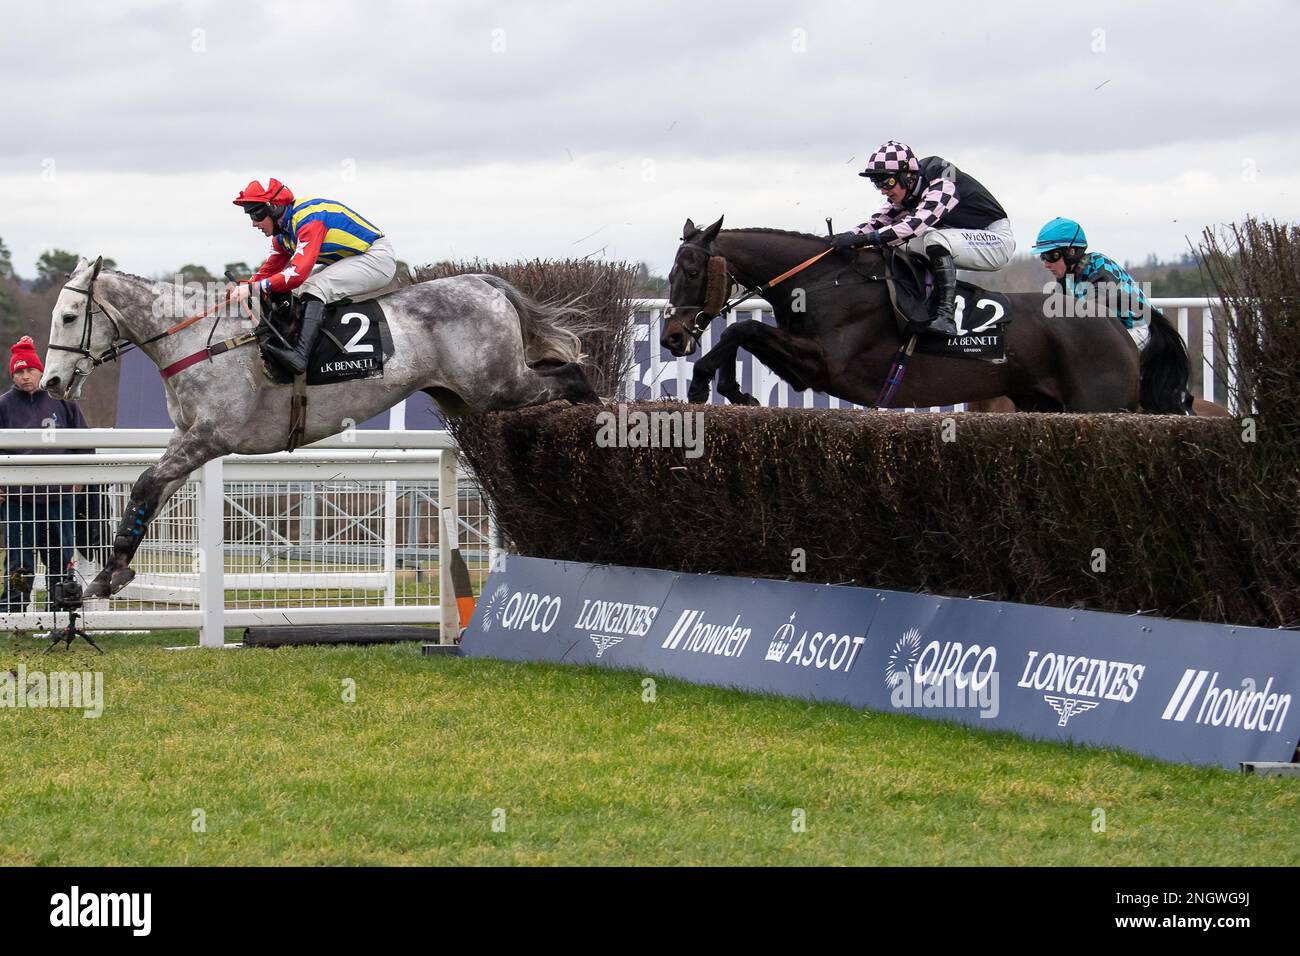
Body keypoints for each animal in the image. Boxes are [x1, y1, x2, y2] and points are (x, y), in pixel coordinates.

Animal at [39, 254, 598, 598]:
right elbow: (148, 493)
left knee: (570, 374)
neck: (197, 339)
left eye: (69, 317)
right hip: (467, 397)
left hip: (496, 384)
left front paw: (108, 573)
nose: (51, 382)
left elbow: (145, 484)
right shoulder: (187, 439)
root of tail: (485, 282)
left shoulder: (211, 437)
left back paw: (599, 421)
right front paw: (110, 573)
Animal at [665, 218, 1190, 413]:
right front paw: (732, 389)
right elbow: (743, 332)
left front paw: (706, 384)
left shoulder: (827, 365)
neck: (821, 281)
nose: (671, 336)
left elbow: (742, 328)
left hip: (1099, 404)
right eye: (669, 272)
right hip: (1041, 403)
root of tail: (1116, 323)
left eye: (690, 271)